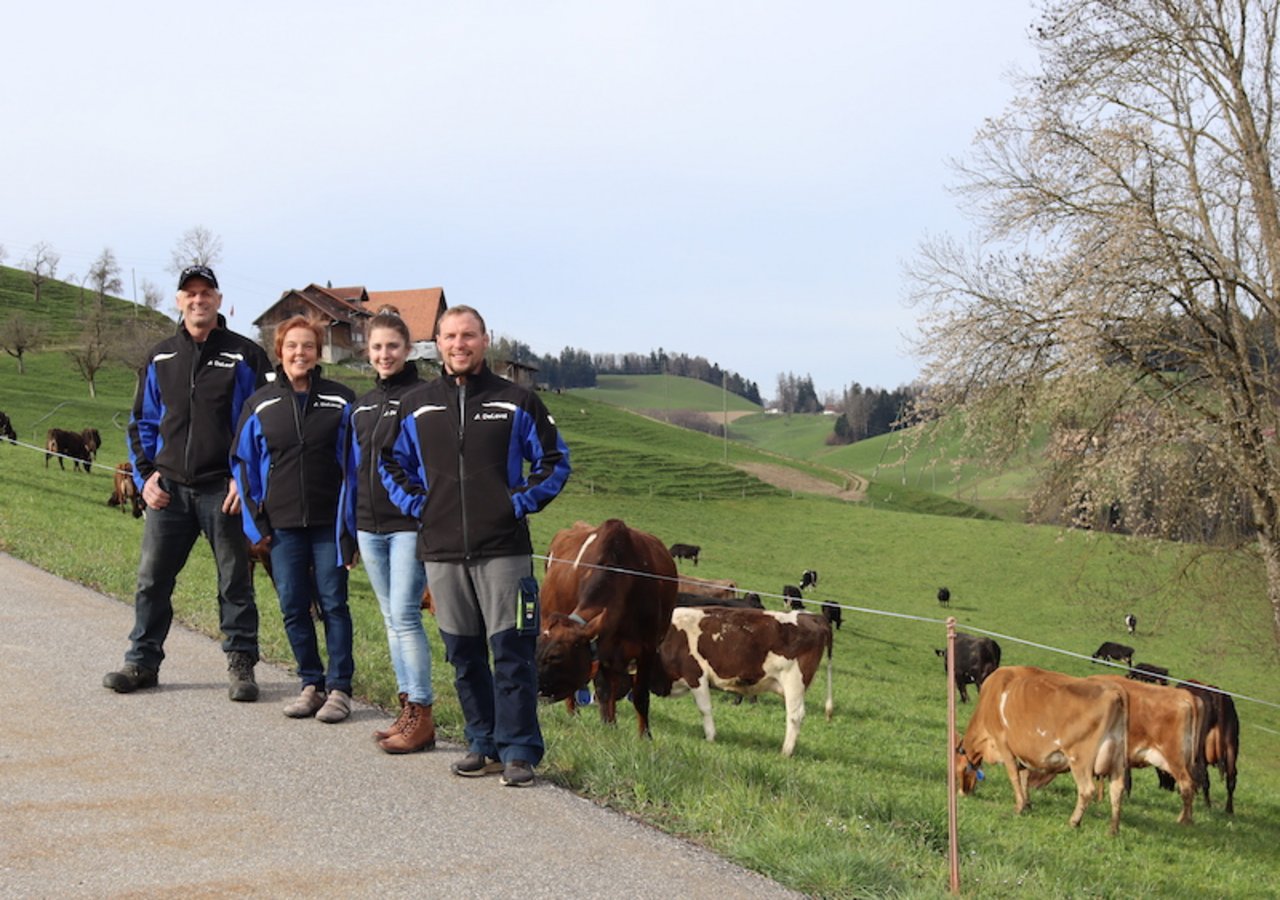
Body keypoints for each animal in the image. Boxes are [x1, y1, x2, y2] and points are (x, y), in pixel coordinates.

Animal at [535, 522, 680, 737]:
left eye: (555, 656)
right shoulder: (601, 647)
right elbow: (604, 691)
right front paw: (608, 728)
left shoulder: (648, 648)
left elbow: (640, 696)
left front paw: (644, 736)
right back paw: (574, 713)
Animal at [650, 601, 829, 757]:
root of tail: (813, 617)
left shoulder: (696, 675)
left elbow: (704, 709)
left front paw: (710, 738)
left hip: (794, 682)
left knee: (795, 715)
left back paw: (786, 752)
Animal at [957, 665, 1126, 834]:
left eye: (959, 770)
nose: (962, 793)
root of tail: (1114, 693)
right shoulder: (1024, 753)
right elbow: (1024, 777)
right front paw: (1027, 804)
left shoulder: (1003, 744)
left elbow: (1014, 776)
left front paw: (1019, 807)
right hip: (1117, 758)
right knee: (1117, 789)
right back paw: (1114, 830)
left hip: (1079, 758)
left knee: (1087, 790)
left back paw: (1074, 822)